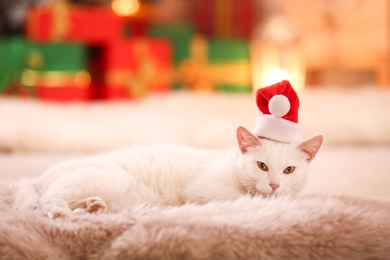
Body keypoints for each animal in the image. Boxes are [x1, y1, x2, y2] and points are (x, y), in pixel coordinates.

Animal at [13, 127, 322, 218]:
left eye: (289, 170)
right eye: (262, 166)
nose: (274, 185)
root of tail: (37, 179)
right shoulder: (204, 190)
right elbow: (242, 198)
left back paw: (93, 207)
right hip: (105, 178)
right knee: (48, 200)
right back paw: (61, 212)